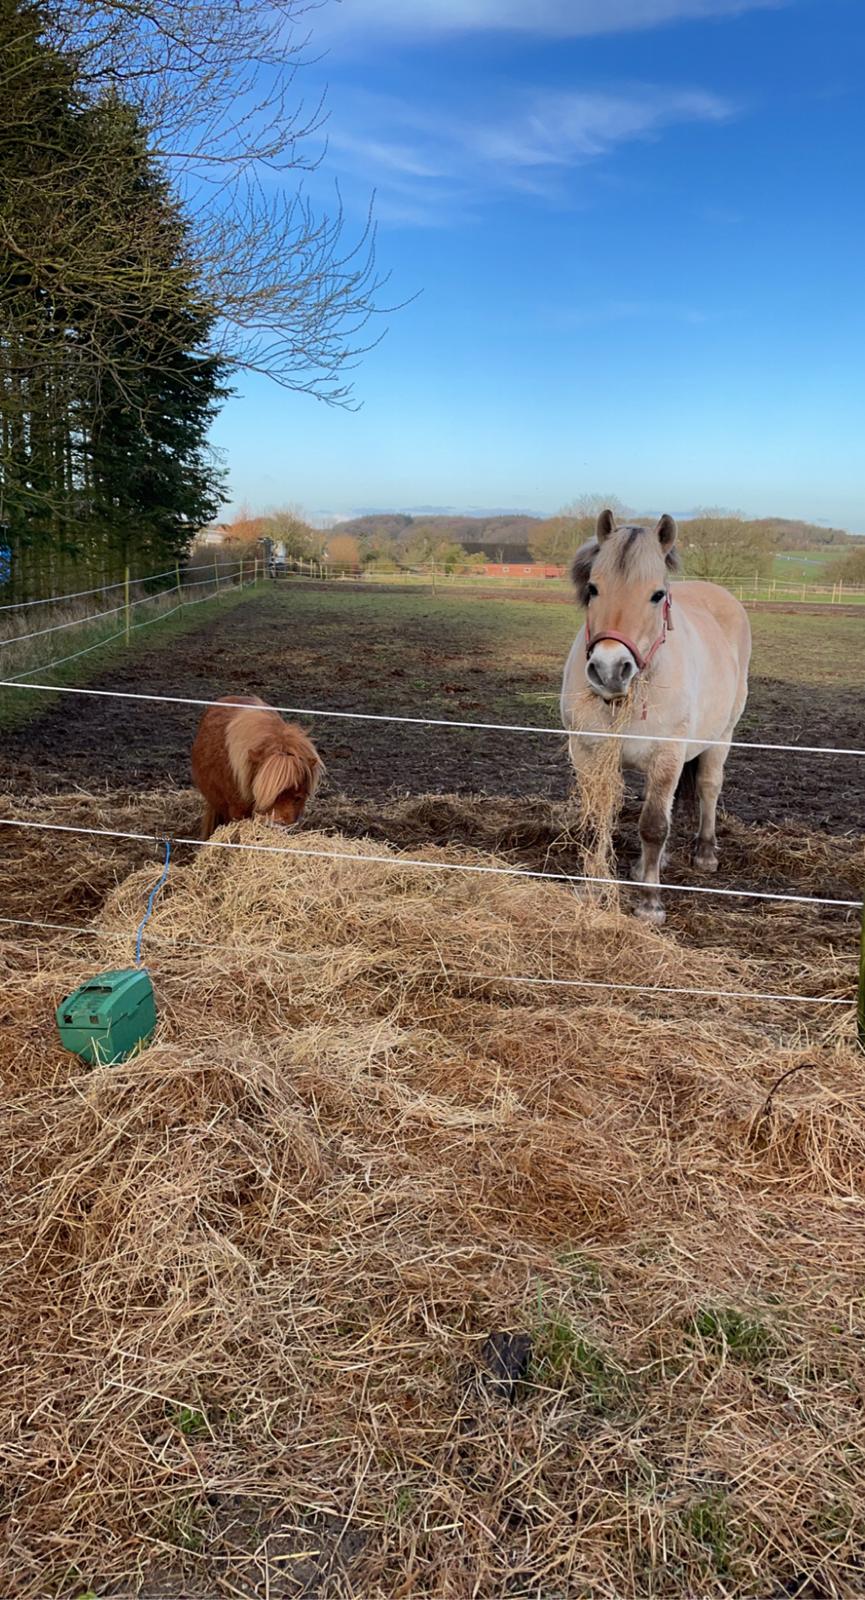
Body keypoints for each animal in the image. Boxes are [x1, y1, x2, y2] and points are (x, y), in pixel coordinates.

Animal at [559, 505, 748, 921]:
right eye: (593, 588)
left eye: (657, 595)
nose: (609, 670)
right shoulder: (588, 753)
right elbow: (598, 819)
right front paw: (593, 887)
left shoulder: (668, 754)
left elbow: (653, 826)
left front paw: (649, 903)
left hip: (720, 737)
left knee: (708, 786)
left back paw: (704, 852)